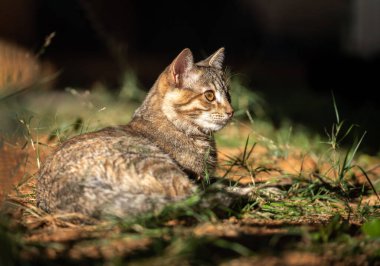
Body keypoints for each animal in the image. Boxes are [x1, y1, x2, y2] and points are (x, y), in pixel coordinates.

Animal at [37, 48, 236, 218]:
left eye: (228, 95)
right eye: (209, 95)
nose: (231, 111)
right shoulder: (200, 177)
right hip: (156, 163)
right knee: (190, 196)